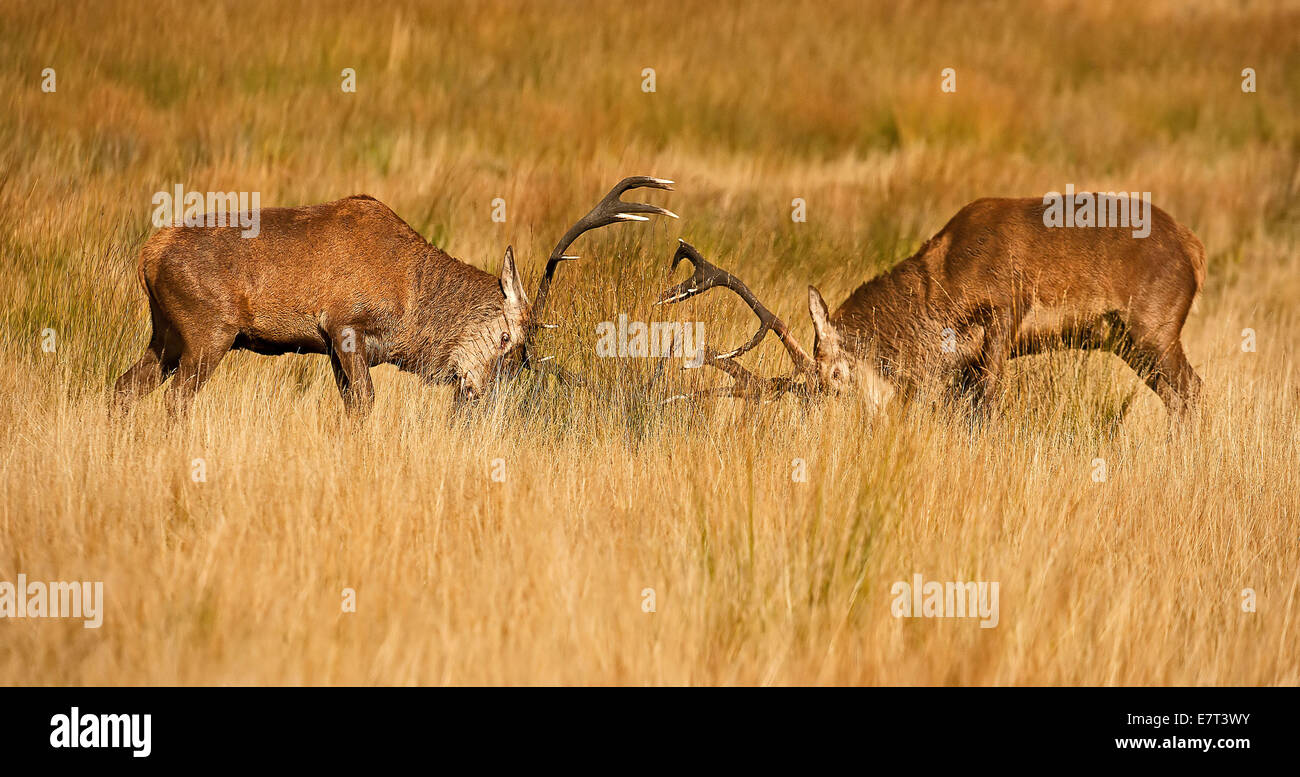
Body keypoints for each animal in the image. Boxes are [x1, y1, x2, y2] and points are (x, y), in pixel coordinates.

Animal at [113, 178, 676, 420]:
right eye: (506, 341)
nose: (478, 398)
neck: (410, 307)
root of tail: (147, 254)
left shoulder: (336, 347)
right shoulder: (344, 325)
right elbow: (365, 404)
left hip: (166, 334)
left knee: (124, 387)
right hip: (208, 331)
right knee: (175, 399)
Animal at [660, 197, 1206, 423]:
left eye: (834, 376)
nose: (823, 422)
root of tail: (1194, 248)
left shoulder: (1005, 315)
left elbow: (985, 406)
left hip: (1154, 329)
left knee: (1192, 390)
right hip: (1129, 343)